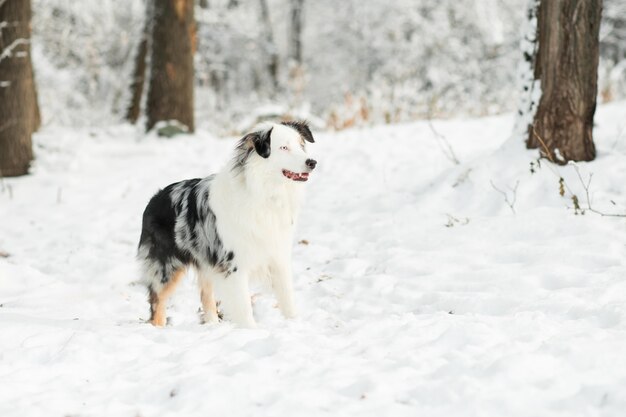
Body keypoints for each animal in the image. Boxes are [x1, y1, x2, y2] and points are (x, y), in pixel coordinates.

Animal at [135, 118, 314, 326]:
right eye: (284, 147)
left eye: (301, 146)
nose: (312, 162)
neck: (264, 193)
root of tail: (154, 198)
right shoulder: (234, 264)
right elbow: (244, 308)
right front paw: (251, 329)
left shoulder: (277, 254)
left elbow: (287, 298)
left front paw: (295, 323)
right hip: (166, 266)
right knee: (157, 301)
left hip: (206, 262)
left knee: (206, 298)